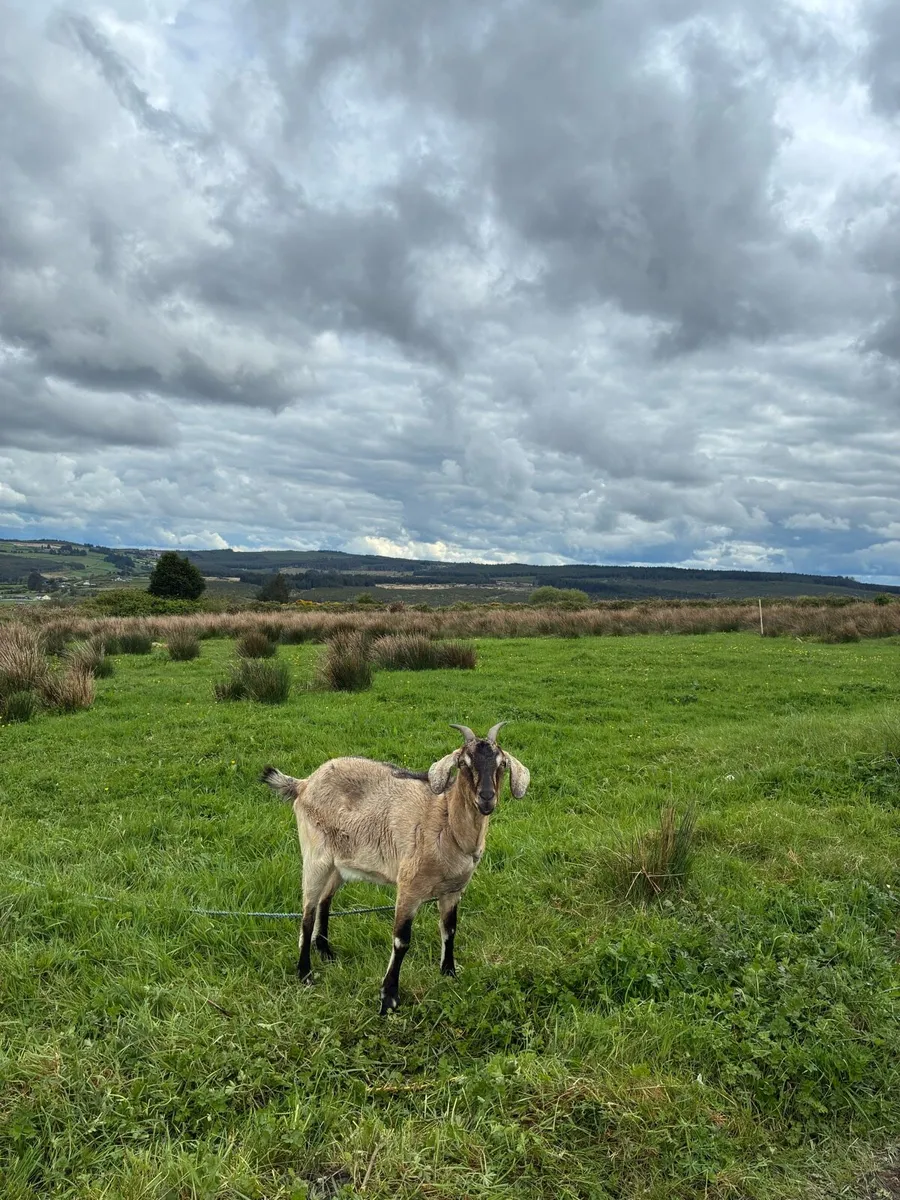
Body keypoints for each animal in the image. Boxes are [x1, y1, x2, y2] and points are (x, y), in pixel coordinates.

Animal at [261, 722, 530, 1014]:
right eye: (463, 763)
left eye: (502, 764)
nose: (487, 798)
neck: (446, 821)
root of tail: (305, 783)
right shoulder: (409, 887)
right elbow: (401, 941)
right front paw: (388, 998)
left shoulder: (453, 890)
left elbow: (449, 930)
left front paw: (449, 973)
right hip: (315, 857)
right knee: (307, 912)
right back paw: (305, 973)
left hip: (339, 863)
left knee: (325, 900)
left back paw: (325, 952)